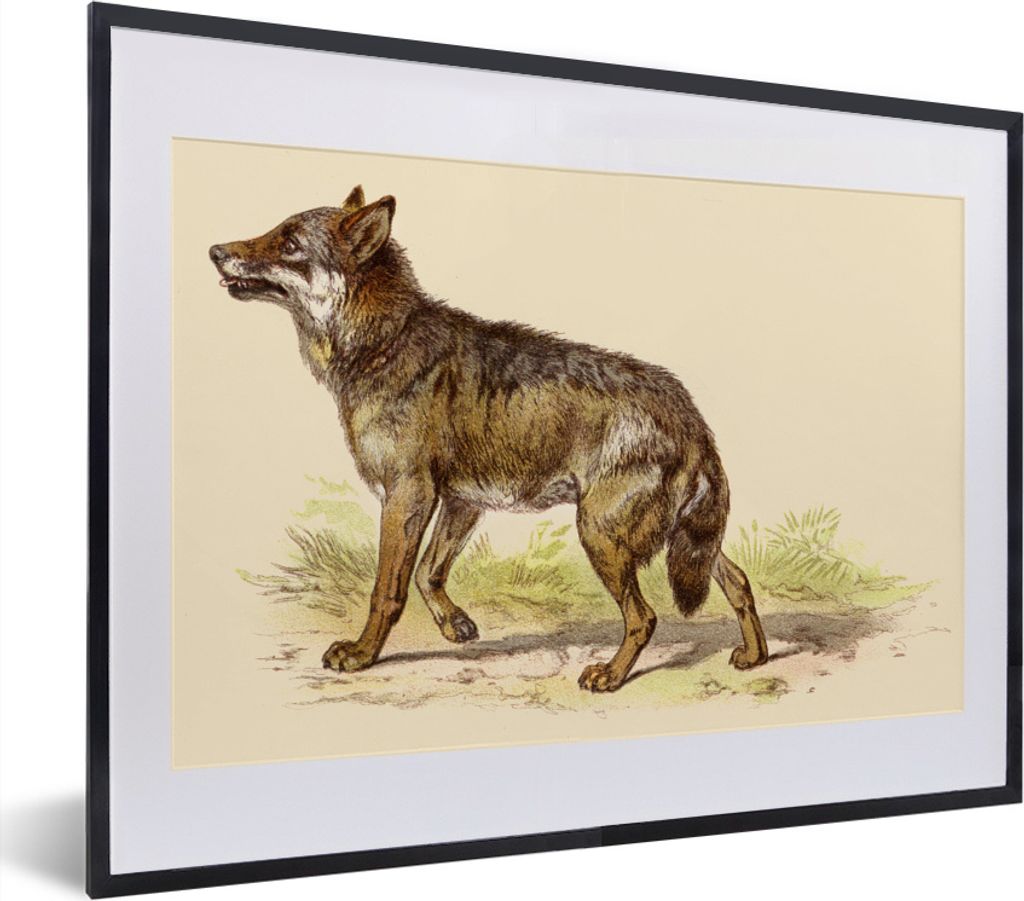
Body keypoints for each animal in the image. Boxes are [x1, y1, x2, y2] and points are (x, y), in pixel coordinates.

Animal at [209, 186, 769, 692]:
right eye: (275, 232)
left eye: (289, 244)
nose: (215, 251)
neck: (385, 341)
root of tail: (691, 417)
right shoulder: (460, 502)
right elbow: (428, 573)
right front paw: (453, 623)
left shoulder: (407, 496)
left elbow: (387, 589)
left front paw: (364, 654)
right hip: (685, 540)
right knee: (738, 581)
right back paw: (756, 655)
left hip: (601, 536)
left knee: (644, 616)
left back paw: (610, 675)